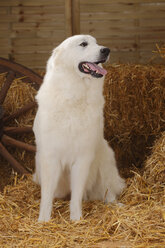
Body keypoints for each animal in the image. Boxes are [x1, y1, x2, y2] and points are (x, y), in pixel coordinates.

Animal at [32, 34, 124, 221]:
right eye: (83, 44)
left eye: (96, 43)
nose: (106, 50)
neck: (74, 95)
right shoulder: (50, 157)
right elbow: (47, 195)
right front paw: (43, 220)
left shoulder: (83, 158)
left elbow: (76, 195)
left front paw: (76, 219)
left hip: (105, 161)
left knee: (108, 191)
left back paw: (115, 204)